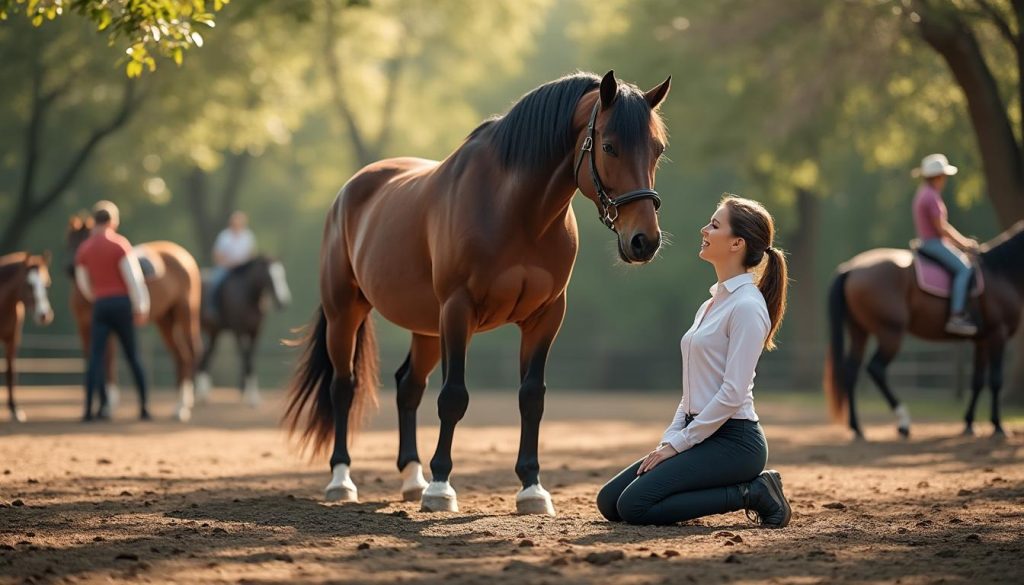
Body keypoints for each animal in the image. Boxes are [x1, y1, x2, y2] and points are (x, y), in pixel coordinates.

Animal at [1, 252, 55, 422]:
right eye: (28, 284)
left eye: (47, 283)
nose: (44, 315)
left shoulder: (13, 338)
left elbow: (11, 371)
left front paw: (14, 409)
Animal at [195, 256, 292, 406]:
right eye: (269, 276)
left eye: (282, 274)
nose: (283, 302)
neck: (249, 296)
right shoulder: (239, 330)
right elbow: (245, 358)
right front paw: (250, 397)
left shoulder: (255, 332)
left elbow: (250, 359)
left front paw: (251, 395)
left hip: (214, 332)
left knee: (206, 356)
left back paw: (203, 394)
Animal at [283, 70, 671, 515]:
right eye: (608, 146)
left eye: (657, 149)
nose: (644, 241)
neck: (516, 211)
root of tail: (351, 189)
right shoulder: (458, 309)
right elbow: (453, 397)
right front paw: (441, 489)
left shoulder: (546, 316)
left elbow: (532, 397)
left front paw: (532, 489)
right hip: (345, 313)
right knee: (343, 388)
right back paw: (342, 481)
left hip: (425, 327)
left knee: (408, 387)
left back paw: (412, 478)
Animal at [824, 221, 1024, 439]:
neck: (1000, 274)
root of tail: (850, 268)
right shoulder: (998, 333)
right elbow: (996, 380)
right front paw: (998, 425)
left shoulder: (982, 340)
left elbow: (977, 381)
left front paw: (969, 423)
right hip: (890, 332)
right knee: (876, 369)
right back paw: (903, 422)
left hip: (859, 331)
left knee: (851, 371)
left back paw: (857, 427)